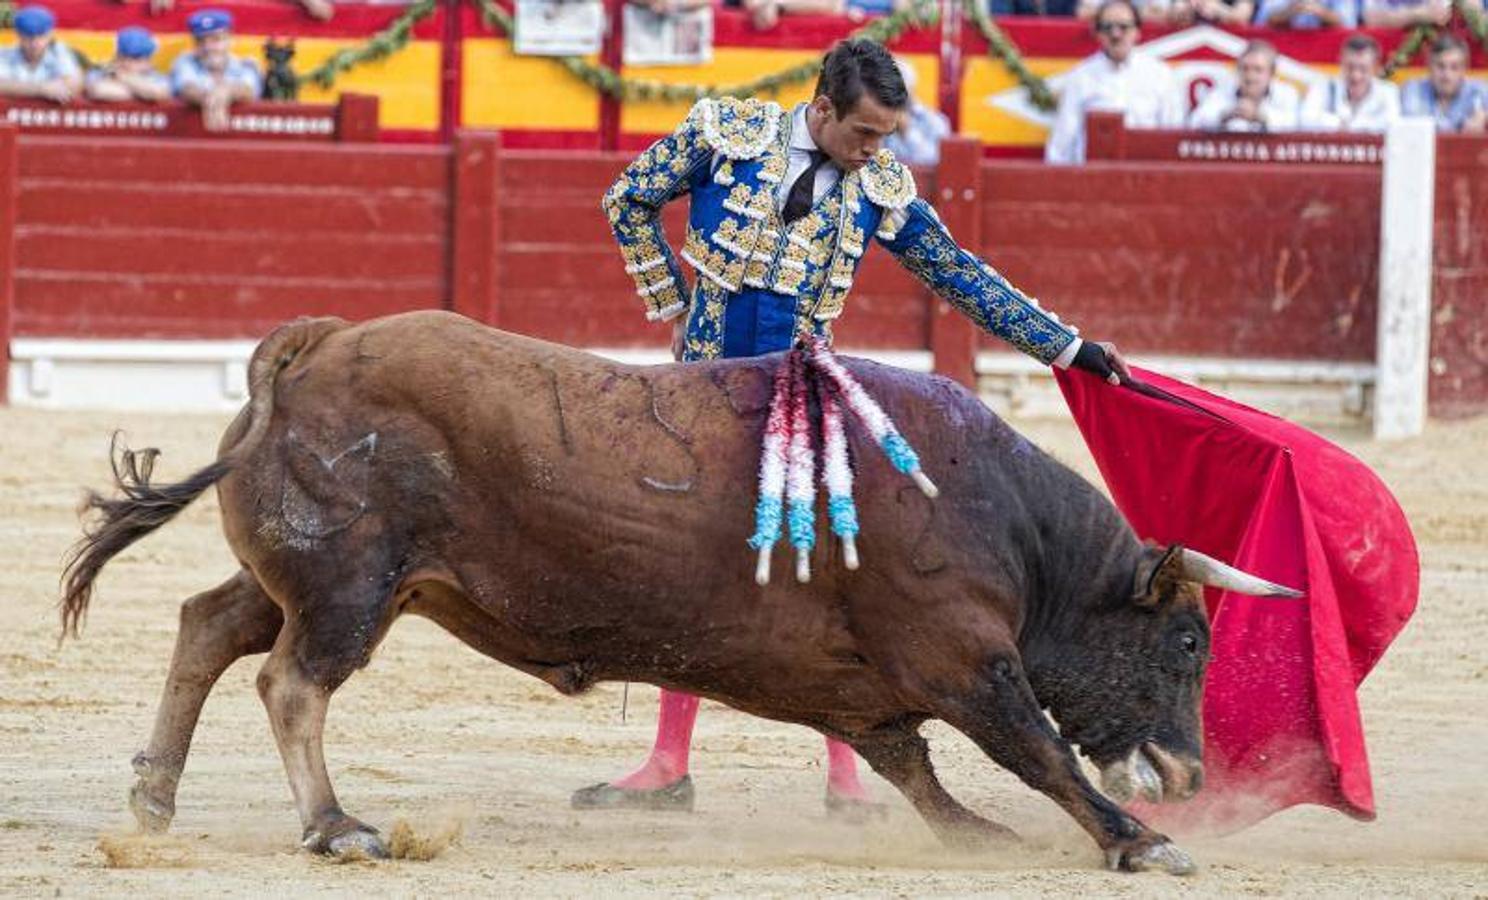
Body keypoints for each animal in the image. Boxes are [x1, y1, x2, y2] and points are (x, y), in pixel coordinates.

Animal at [63, 312, 1303, 874]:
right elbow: (1035, 750)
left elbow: (918, 770)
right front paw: (1141, 840)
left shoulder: (875, 689)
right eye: (1188, 644)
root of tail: (315, 346)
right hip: (351, 589)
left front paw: (981, 838)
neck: (1007, 523)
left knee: (210, 626)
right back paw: (337, 825)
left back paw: (155, 795)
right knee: (291, 684)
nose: (1195, 771)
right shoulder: (964, 662)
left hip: (318, 577)